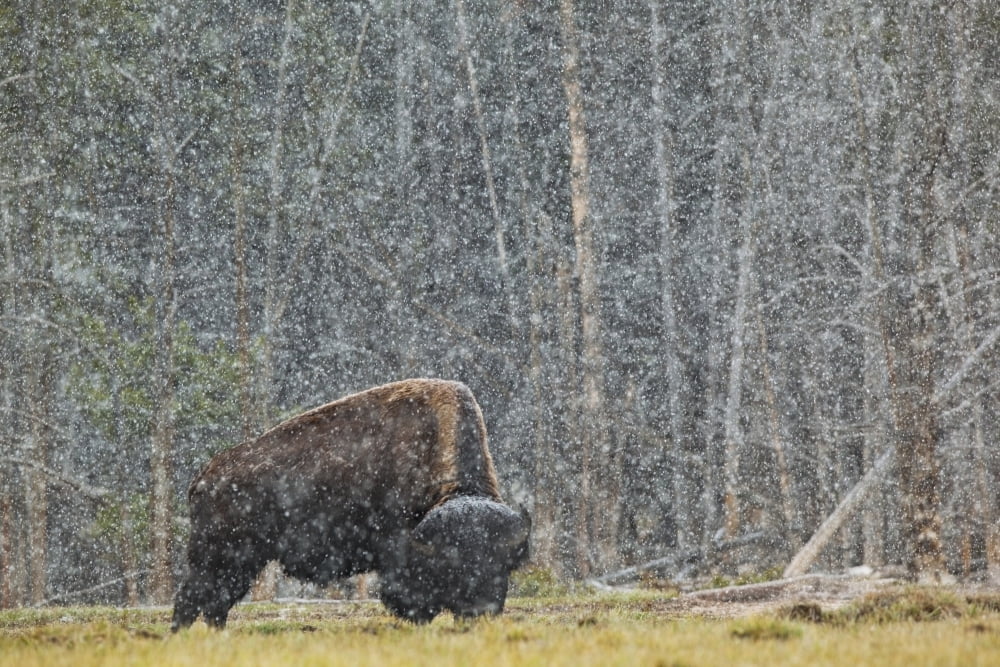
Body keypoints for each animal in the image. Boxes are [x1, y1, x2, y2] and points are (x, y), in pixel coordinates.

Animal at [171, 378, 530, 630]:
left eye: (501, 562)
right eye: (453, 564)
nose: (479, 610)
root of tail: (204, 476)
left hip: (242, 562)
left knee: (215, 604)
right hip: (219, 555)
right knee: (193, 600)